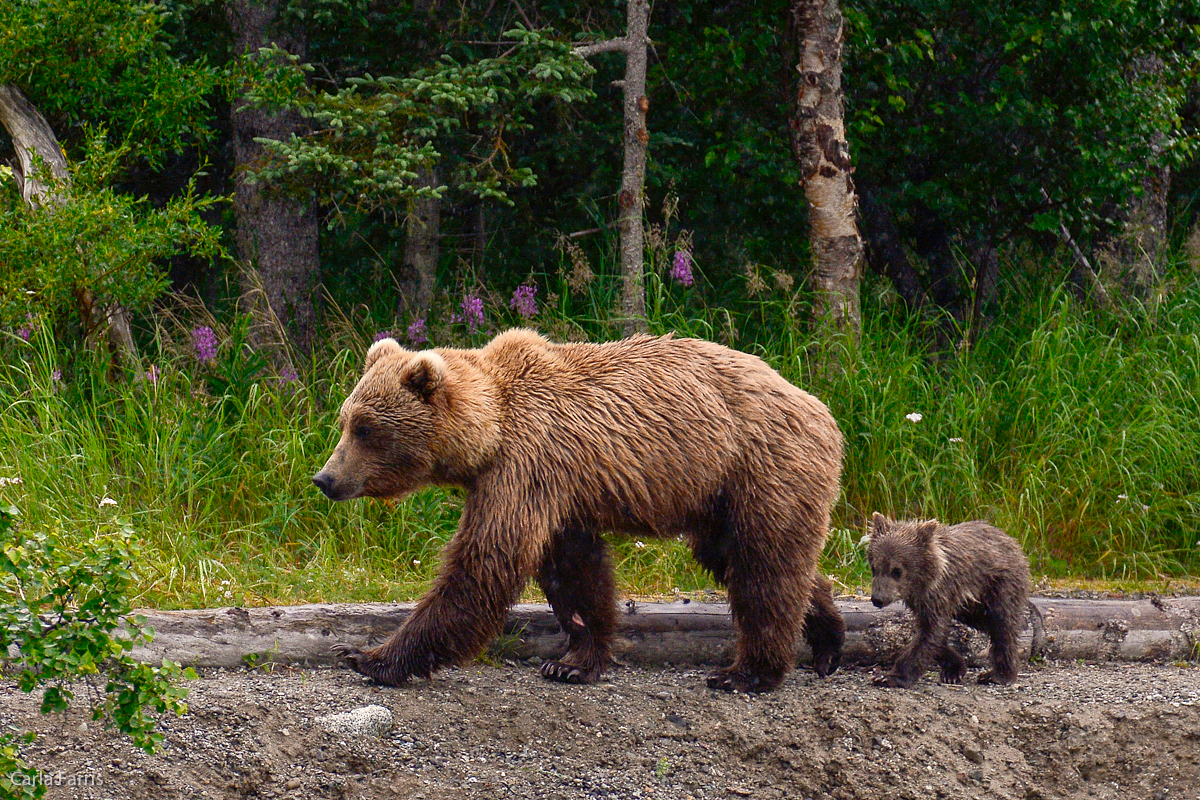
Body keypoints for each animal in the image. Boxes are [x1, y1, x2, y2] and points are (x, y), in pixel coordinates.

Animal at [316, 328, 844, 690]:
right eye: (345, 420)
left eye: (365, 429)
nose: (325, 479)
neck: (489, 433)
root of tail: (819, 406)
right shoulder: (561, 491)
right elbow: (576, 573)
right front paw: (572, 661)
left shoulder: (526, 465)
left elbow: (485, 563)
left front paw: (367, 655)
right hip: (719, 494)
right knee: (743, 556)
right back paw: (827, 641)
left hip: (761, 464)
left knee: (763, 566)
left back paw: (747, 672)